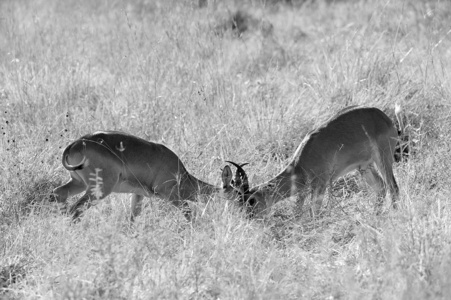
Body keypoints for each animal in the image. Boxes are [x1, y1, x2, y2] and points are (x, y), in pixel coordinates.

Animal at [52, 131, 240, 220]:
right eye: (238, 194)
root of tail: (76, 144)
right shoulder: (172, 197)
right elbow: (189, 215)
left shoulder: (138, 195)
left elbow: (132, 219)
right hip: (99, 190)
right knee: (75, 209)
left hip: (79, 183)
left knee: (59, 193)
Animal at [228, 106, 400, 218]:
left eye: (251, 201)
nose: (249, 219)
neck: (301, 164)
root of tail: (384, 117)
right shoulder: (306, 190)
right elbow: (299, 211)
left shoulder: (321, 184)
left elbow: (313, 211)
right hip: (364, 166)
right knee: (381, 187)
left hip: (382, 159)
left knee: (393, 187)